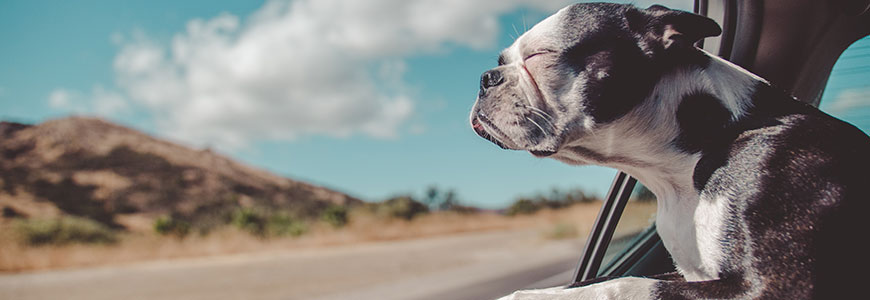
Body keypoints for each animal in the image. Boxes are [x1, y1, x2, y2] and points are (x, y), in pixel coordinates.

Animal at [474, 2, 868, 300]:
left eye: (540, 55)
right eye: (502, 60)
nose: (485, 77)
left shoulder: (771, 286)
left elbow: (624, 285)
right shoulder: (688, 273)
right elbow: (589, 281)